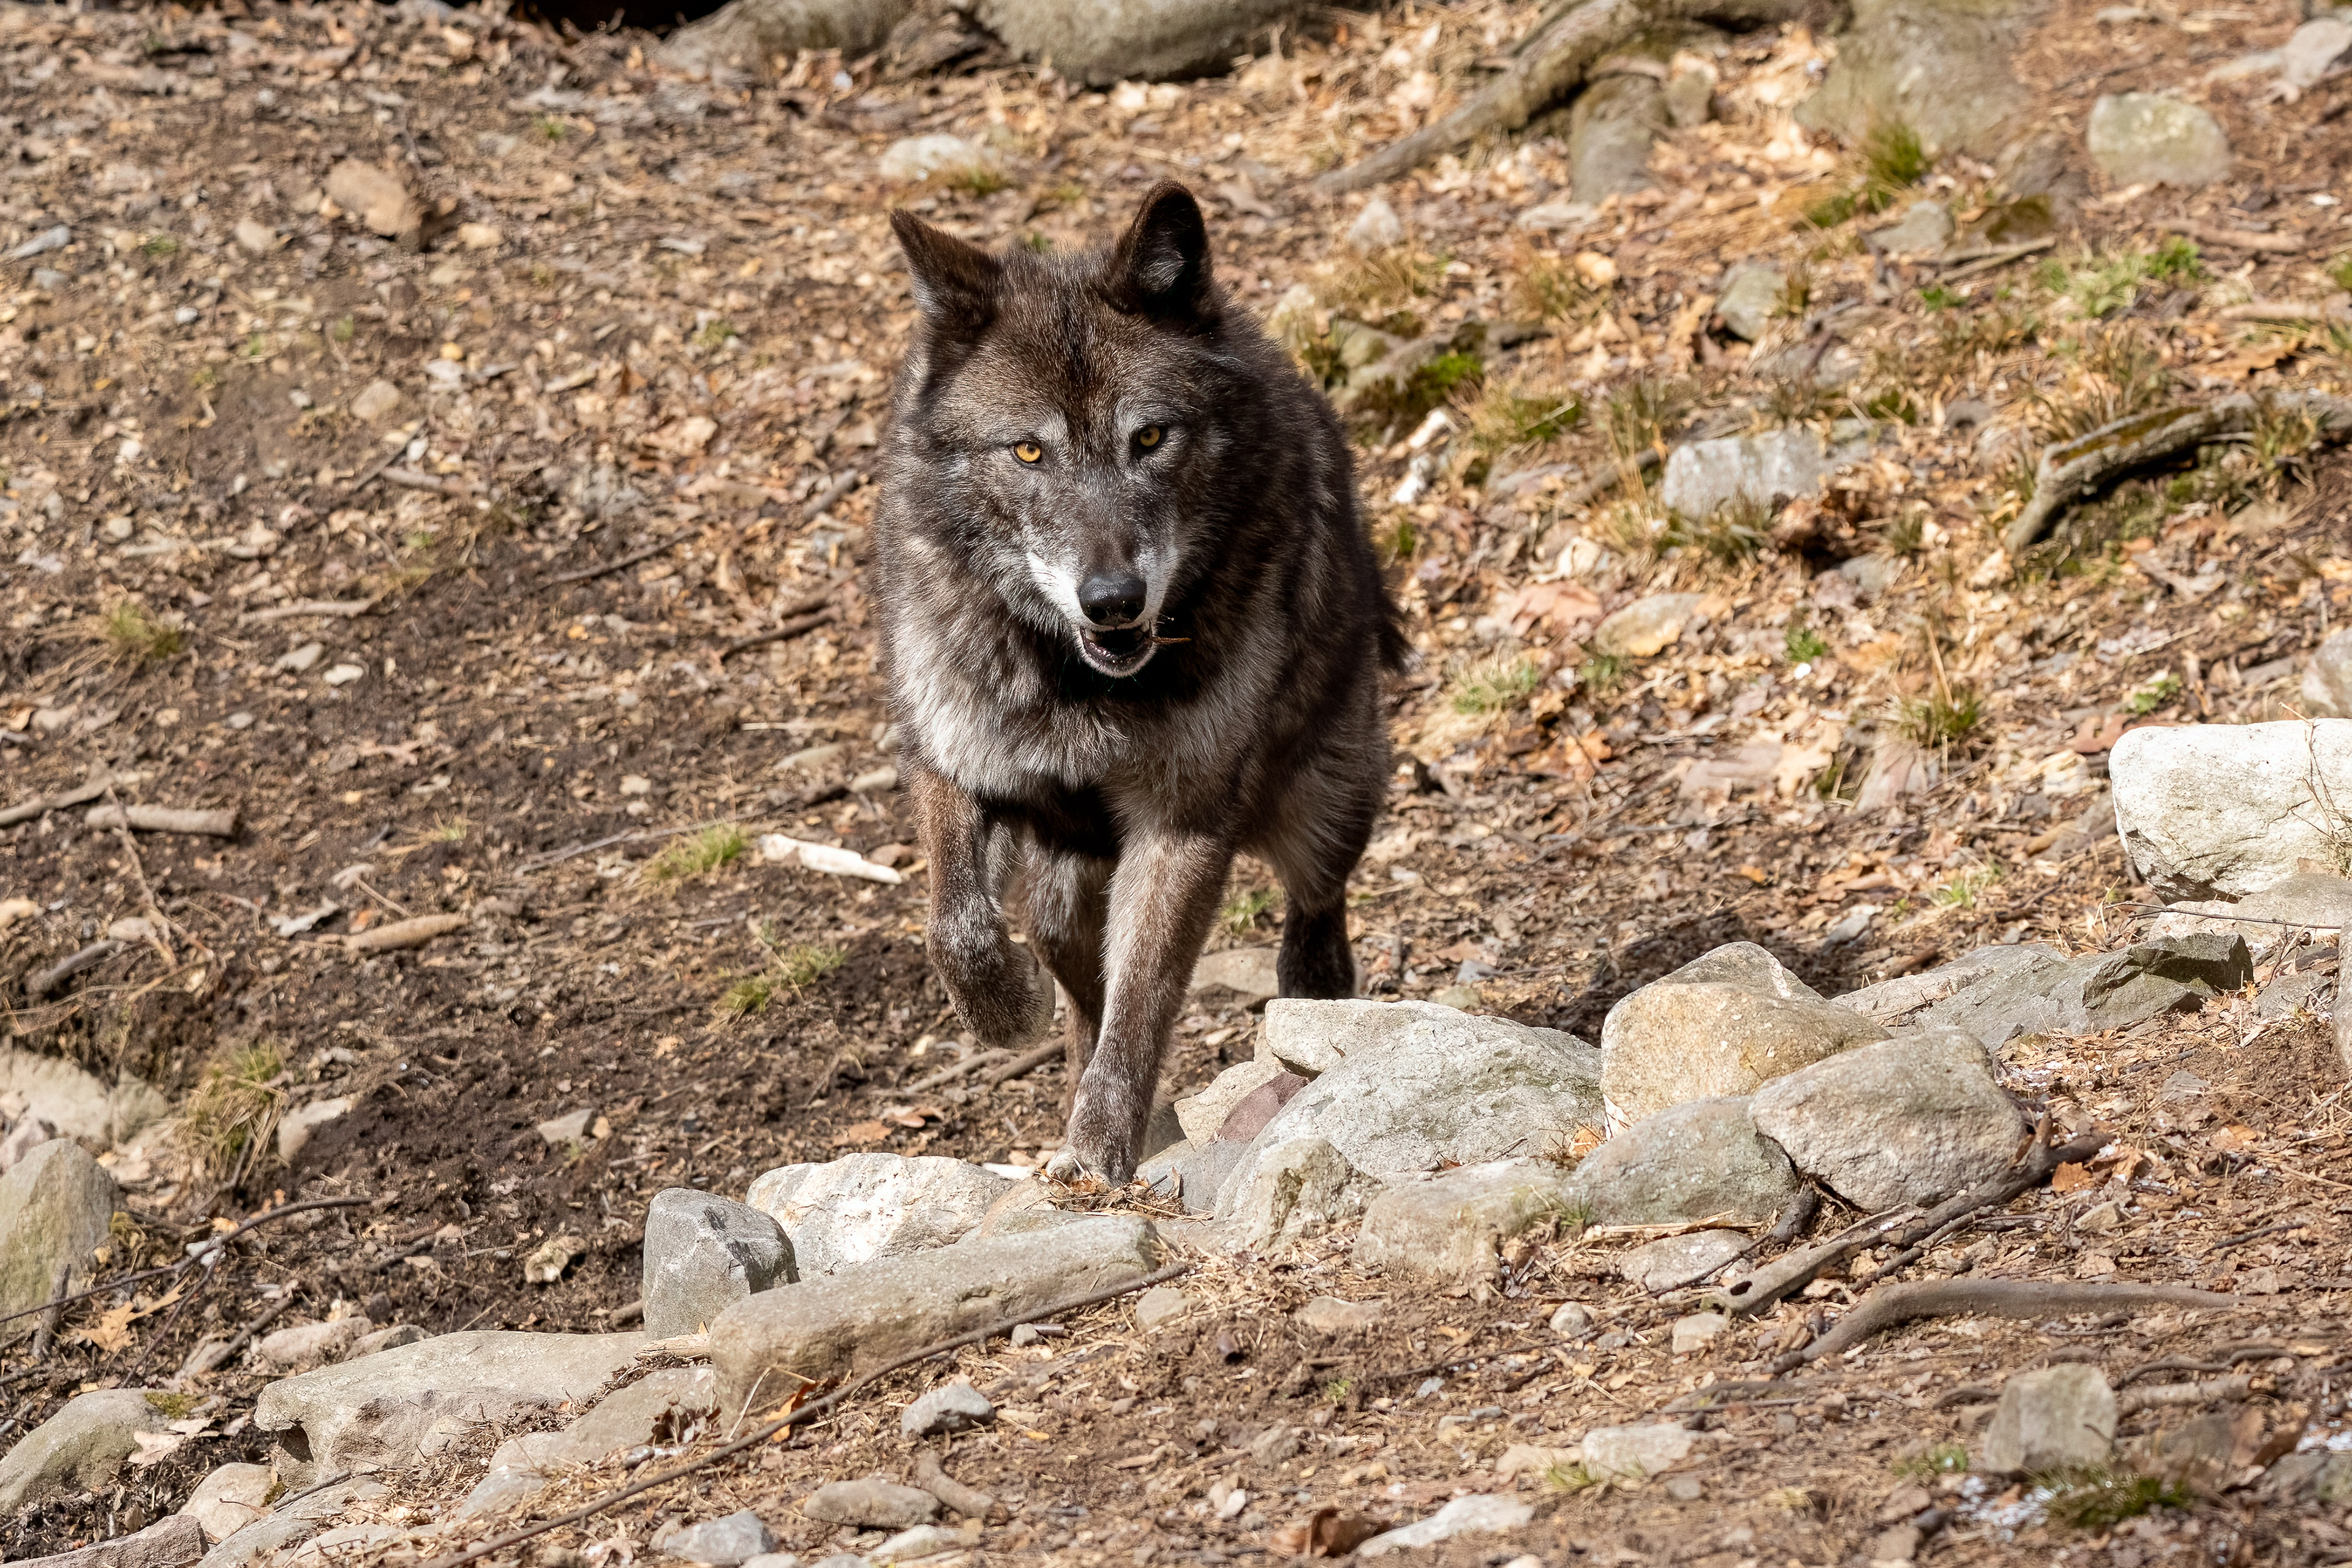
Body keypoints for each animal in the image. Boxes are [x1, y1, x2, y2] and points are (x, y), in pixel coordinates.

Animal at [874, 181, 1404, 1183]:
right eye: (1028, 452)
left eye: (1150, 438)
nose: (1114, 599)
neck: (1076, 687)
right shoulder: (953, 762)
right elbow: (955, 927)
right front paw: (1008, 1011)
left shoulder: (1183, 825)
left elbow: (1146, 997)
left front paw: (1097, 1150)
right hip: (1060, 886)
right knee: (1073, 977)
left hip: (1325, 801)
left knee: (1316, 903)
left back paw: (1315, 1005)